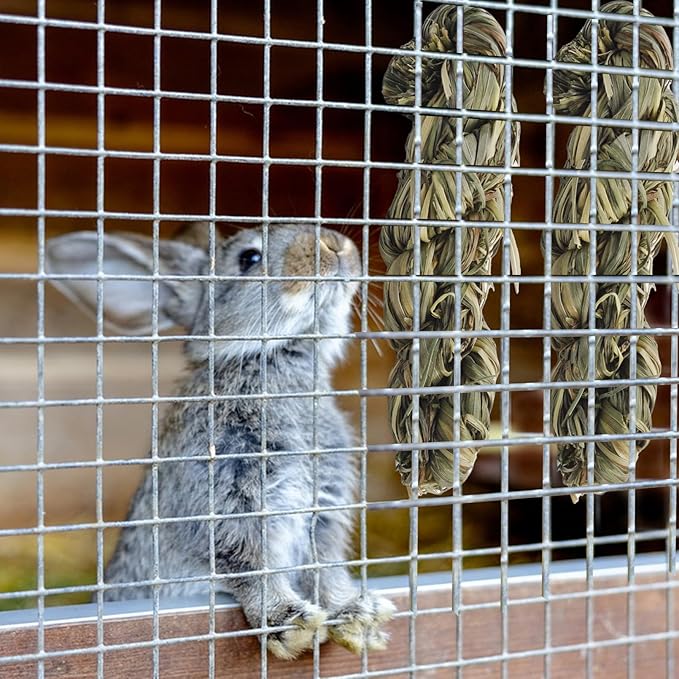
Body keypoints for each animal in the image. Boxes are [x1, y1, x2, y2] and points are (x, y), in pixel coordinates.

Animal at [45, 223, 395, 660]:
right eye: (249, 259)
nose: (335, 245)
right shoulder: (225, 499)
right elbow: (249, 562)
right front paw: (290, 623)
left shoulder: (325, 509)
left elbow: (326, 568)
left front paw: (358, 616)